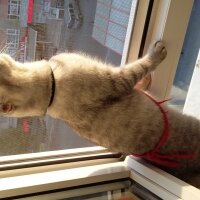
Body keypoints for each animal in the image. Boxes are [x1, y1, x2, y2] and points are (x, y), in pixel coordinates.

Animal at [0, 41, 200, 188]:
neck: (52, 87)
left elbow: (140, 79)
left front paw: (146, 82)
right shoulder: (118, 79)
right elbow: (141, 66)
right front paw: (157, 53)